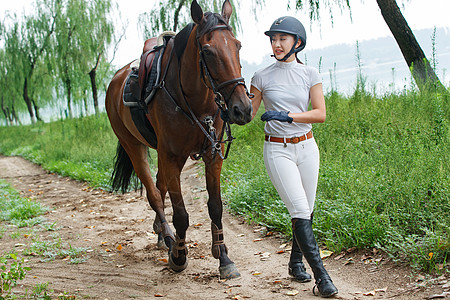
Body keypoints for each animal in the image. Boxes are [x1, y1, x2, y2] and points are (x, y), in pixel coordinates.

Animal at [105, 0, 253, 278]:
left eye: (237, 45)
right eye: (207, 51)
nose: (242, 109)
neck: (196, 102)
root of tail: (116, 81)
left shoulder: (211, 155)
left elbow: (215, 206)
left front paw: (223, 257)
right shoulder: (172, 156)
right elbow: (181, 214)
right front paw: (179, 256)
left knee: (159, 185)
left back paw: (162, 234)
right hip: (134, 146)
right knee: (154, 194)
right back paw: (169, 238)